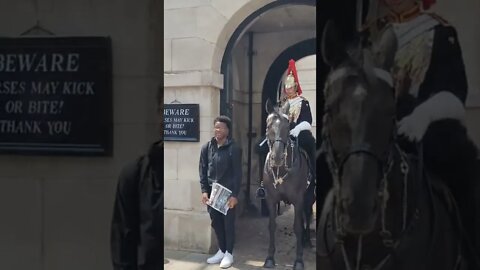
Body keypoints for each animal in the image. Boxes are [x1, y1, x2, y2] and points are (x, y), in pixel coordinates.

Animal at [262, 99, 316, 270]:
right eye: (268, 126)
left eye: (288, 126)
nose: (277, 157)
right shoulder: (271, 199)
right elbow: (271, 226)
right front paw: (269, 258)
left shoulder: (298, 199)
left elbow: (297, 227)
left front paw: (299, 261)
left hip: (309, 196)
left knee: (307, 215)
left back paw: (307, 241)